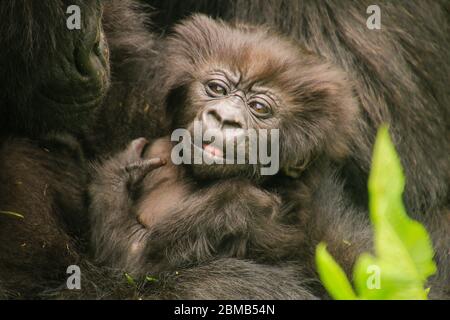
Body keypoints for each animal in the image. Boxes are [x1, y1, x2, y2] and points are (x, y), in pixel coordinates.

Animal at [90, 14, 358, 276]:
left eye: (259, 107)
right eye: (217, 89)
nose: (224, 117)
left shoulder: (252, 209)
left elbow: (135, 254)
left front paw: (121, 173)